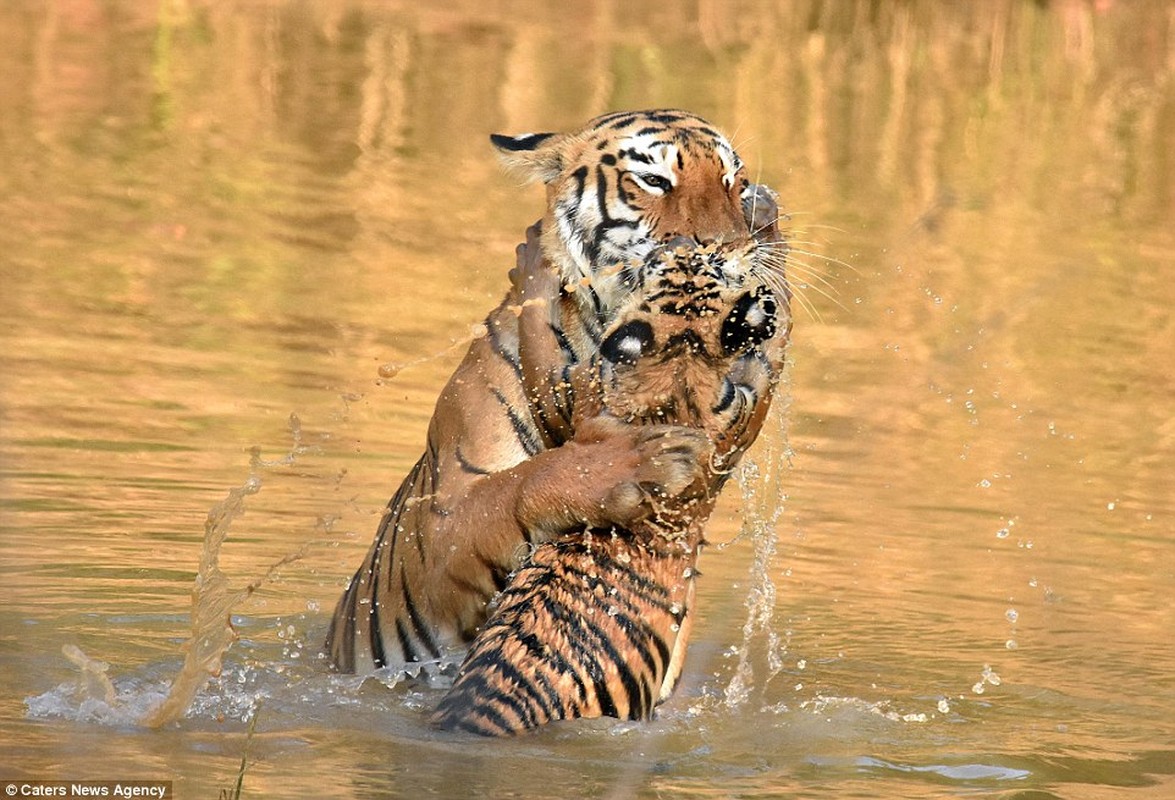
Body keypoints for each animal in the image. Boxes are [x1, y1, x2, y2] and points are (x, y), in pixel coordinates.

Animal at [326, 109, 784, 671]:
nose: (728, 250)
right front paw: (627, 464)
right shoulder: (442, 519)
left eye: (733, 182)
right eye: (654, 180)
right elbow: (520, 483)